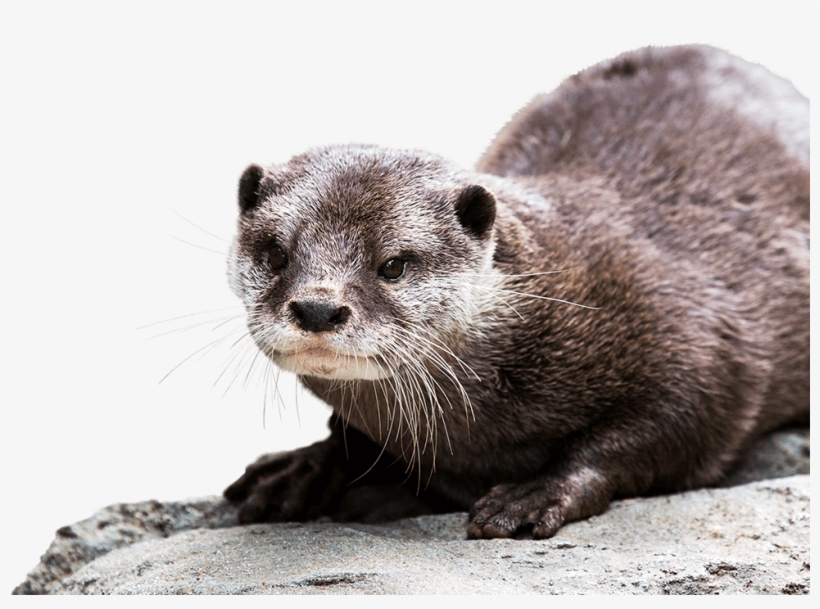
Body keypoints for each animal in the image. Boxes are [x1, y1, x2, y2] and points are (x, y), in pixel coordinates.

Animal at [223, 45, 809, 539]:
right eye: (276, 254)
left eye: (392, 264)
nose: (317, 308)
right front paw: (303, 467)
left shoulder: (705, 349)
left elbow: (665, 432)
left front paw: (534, 494)